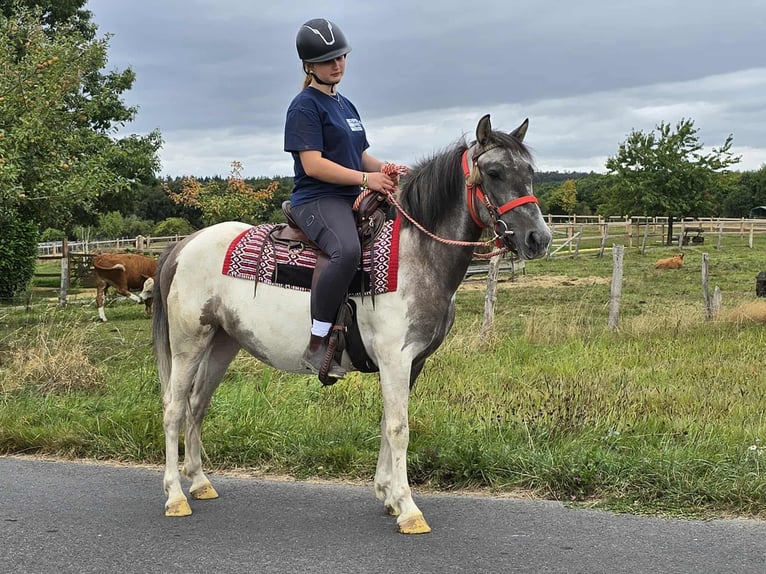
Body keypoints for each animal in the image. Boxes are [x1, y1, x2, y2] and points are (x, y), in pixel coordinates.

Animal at [153, 114, 552, 534]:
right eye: (494, 172)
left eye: (529, 172)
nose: (538, 238)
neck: (416, 256)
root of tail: (184, 245)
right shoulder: (396, 359)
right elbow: (399, 428)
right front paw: (409, 508)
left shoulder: (413, 363)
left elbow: (387, 422)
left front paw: (388, 496)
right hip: (188, 344)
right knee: (174, 409)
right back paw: (175, 496)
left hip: (222, 344)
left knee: (197, 404)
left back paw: (199, 482)